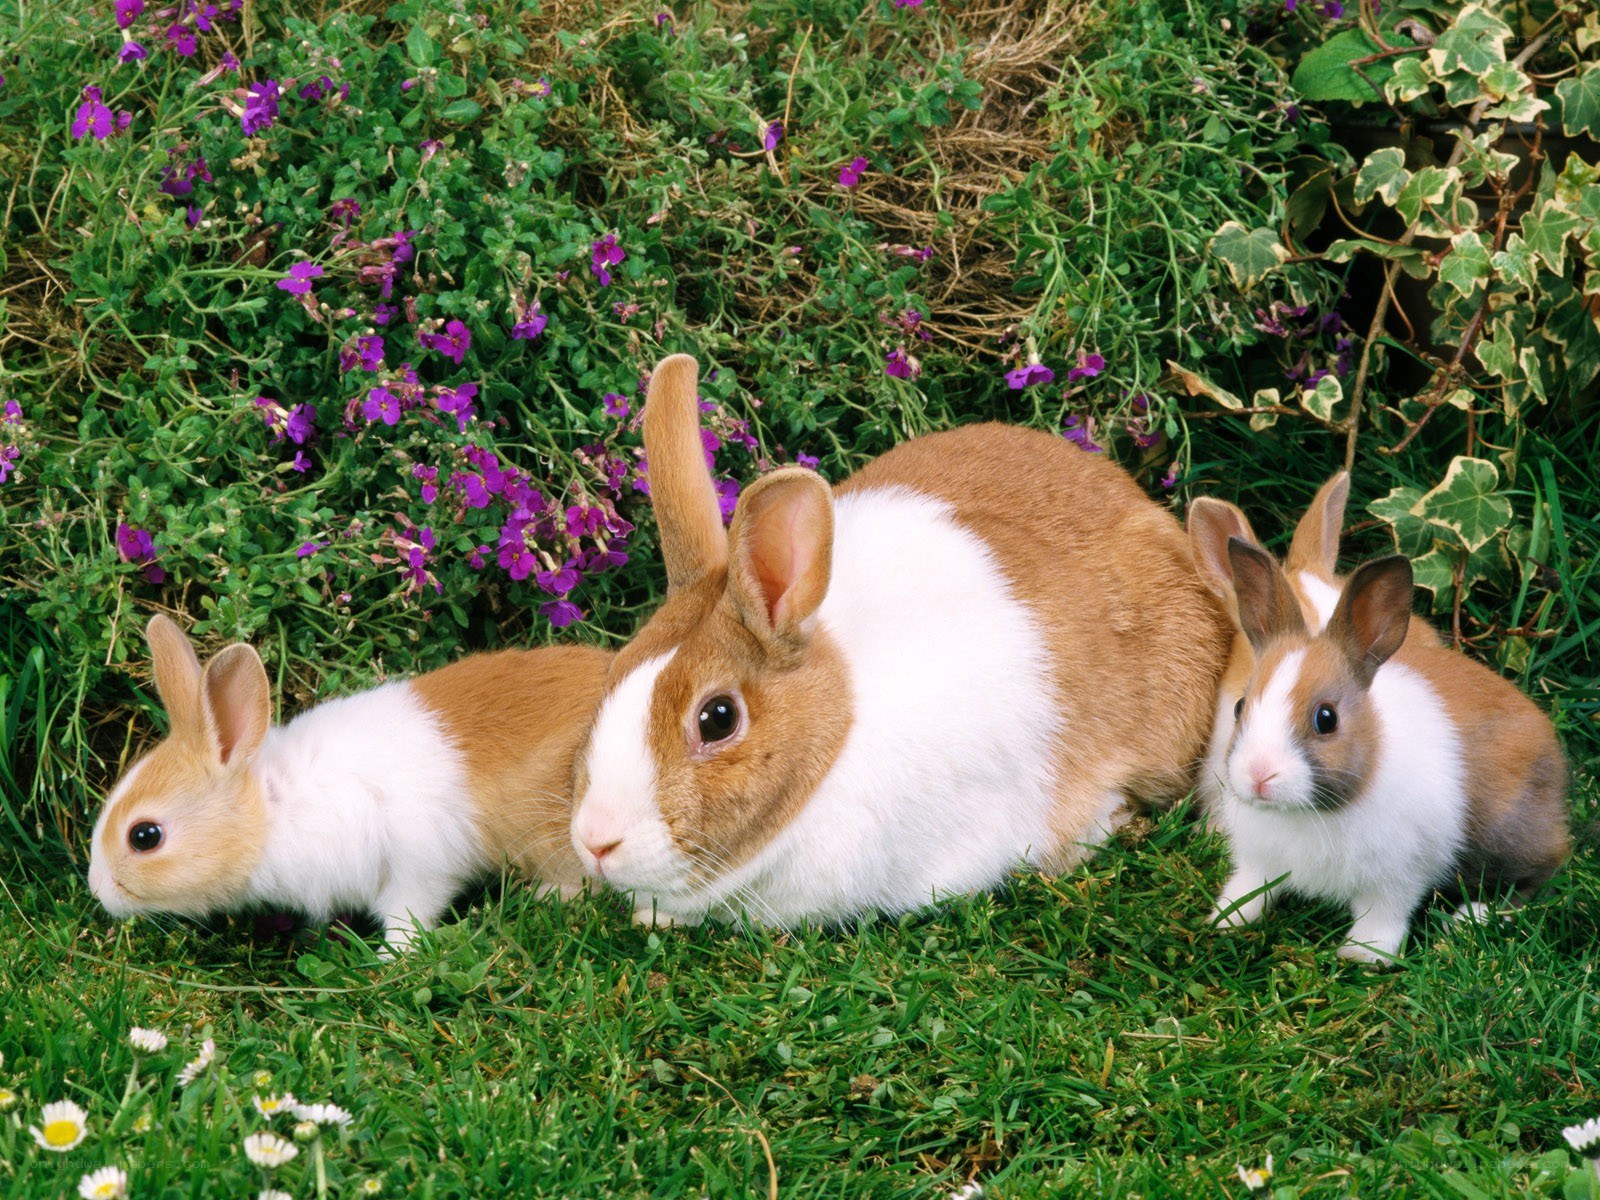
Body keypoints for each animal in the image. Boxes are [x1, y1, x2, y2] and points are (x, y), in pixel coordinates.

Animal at [88, 615, 611, 951]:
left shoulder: (416, 870)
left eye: (145, 836)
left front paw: (390, 959)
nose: (98, 891)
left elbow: (409, 917)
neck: (273, 807)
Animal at [1208, 538, 1571, 962]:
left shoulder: (1399, 875)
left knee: (1539, 875)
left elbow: (1383, 914)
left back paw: (1470, 918)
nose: (1258, 775)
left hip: (1507, 837)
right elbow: (1250, 888)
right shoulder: (1259, 862)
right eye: (1239, 707)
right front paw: (1225, 919)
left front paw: (1362, 955)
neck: (1308, 813)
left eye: (1326, 718)